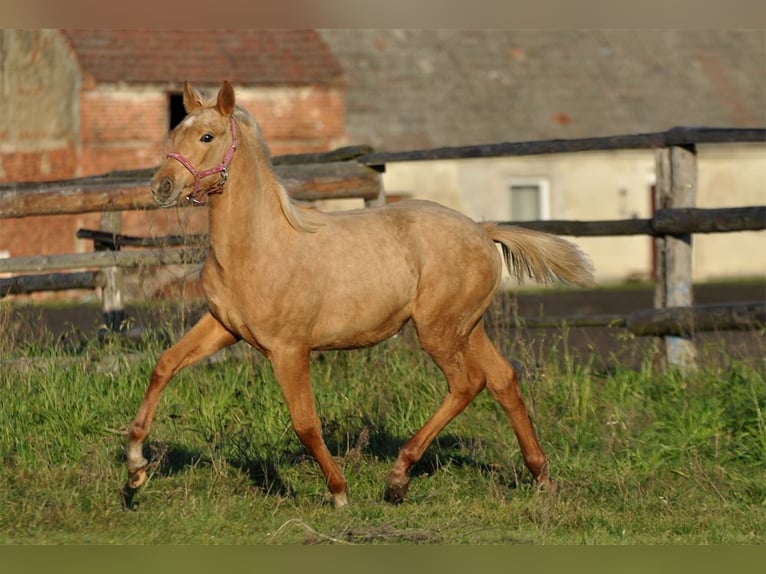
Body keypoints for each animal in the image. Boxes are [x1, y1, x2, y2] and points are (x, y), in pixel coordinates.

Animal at [126, 80, 596, 508]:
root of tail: (483, 231)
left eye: (207, 137)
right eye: (175, 133)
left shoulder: (289, 348)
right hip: (467, 326)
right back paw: (541, 476)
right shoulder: (223, 327)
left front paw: (339, 492)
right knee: (503, 380)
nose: (161, 188)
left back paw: (399, 478)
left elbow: (305, 422)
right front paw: (135, 469)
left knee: (468, 383)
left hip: (438, 330)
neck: (257, 245)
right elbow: (164, 365)